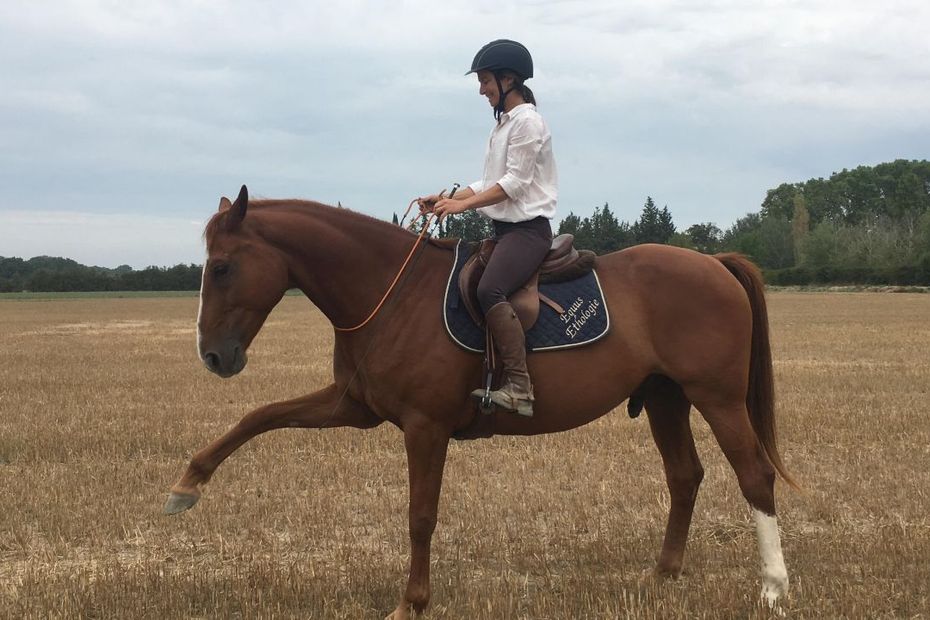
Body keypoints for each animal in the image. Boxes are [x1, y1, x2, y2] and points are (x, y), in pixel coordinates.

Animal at [163, 186, 792, 616]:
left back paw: (772, 586)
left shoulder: (425, 425)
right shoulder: (352, 407)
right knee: (685, 476)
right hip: (666, 399)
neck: (391, 292)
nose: (213, 356)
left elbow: (420, 514)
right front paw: (187, 484)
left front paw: (411, 602)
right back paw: (663, 574)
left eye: (222, 267)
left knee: (755, 476)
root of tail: (713, 263)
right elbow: (258, 416)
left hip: (718, 399)